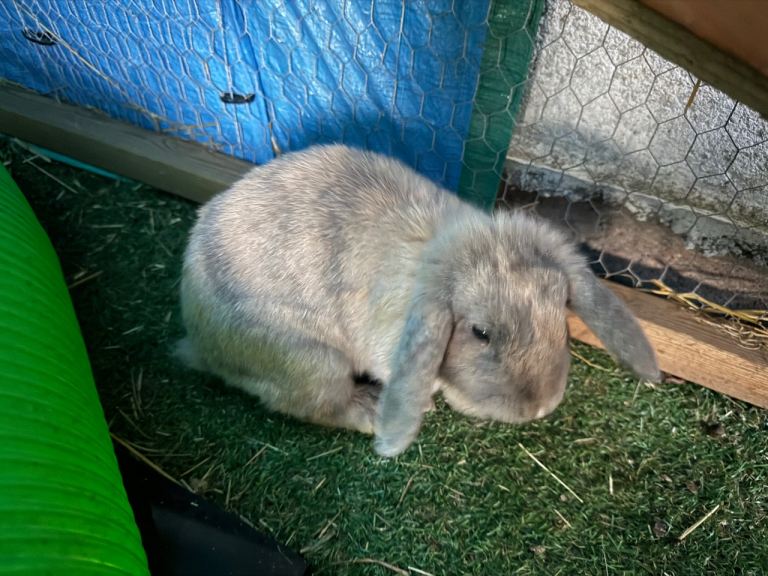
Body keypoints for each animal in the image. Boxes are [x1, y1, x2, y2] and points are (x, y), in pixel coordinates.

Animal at [177, 144, 660, 457]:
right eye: (480, 333)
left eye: (560, 314)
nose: (540, 405)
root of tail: (199, 340)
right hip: (314, 363)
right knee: (315, 406)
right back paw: (369, 411)